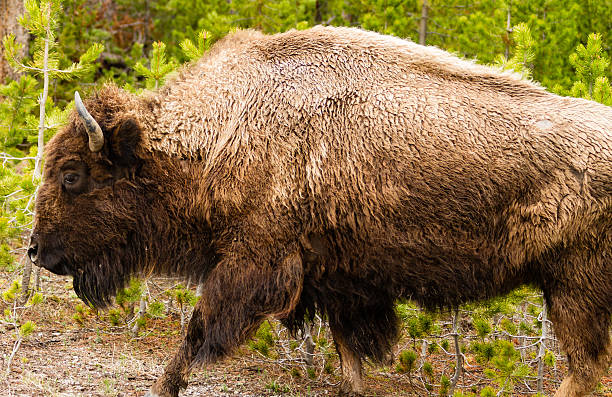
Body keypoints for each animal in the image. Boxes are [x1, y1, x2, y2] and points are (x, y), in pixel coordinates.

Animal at [27, 26, 608, 394]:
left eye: (72, 175)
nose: (36, 251)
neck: (225, 131)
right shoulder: (342, 284)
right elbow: (351, 362)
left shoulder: (253, 263)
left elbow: (197, 333)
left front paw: (161, 386)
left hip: (573, 289)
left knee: (583, 370)